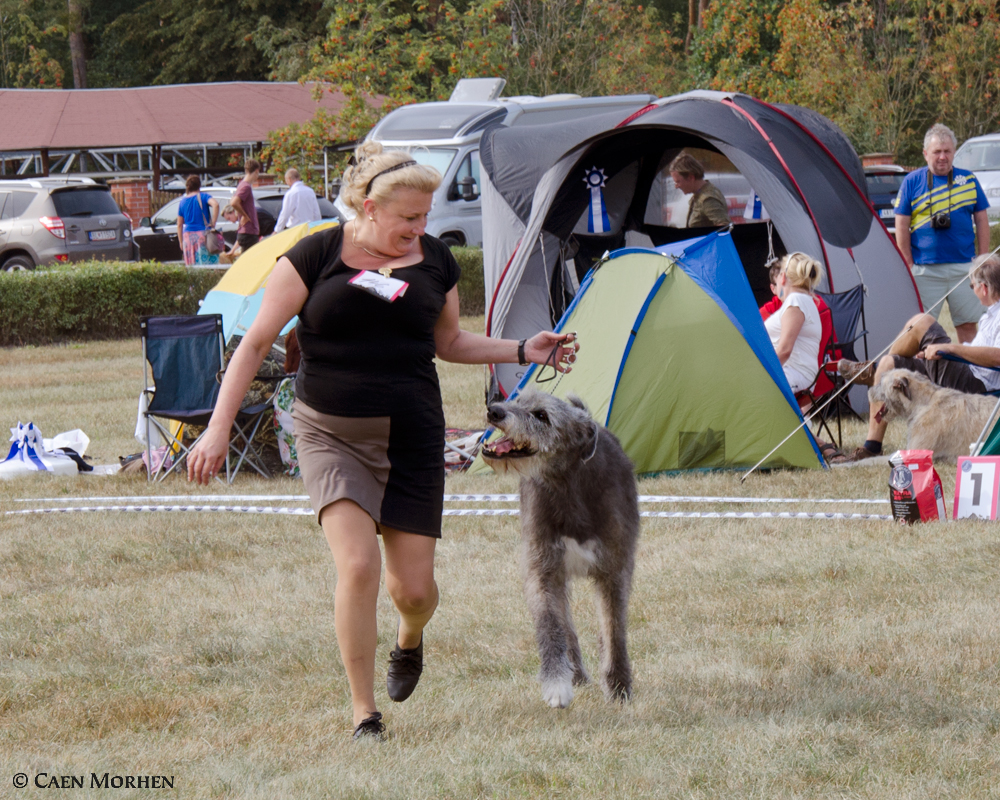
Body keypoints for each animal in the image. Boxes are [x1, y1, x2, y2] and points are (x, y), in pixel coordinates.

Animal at [478, 388, 636, 708]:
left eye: (542, 415)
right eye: (518, 400)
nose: (494, 411)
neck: (568, 483)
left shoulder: (615, 568)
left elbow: (613, 627)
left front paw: (619, 686)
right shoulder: (543, 567)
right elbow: (551, 623)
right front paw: (557, 685)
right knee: (566, 625)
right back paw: (574, 673)